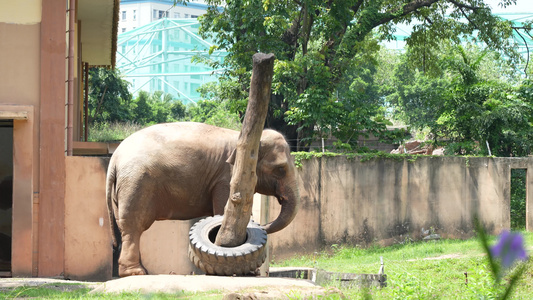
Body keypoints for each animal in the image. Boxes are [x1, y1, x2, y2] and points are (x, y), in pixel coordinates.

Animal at [107, 121, 300, 276]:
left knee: (124, 227)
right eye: (280, 169)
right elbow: (223, 210)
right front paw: (248, 271)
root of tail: (114, 158)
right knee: (134, 227)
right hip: (136, 184)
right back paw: (136, 273)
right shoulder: (227, 178)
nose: (262, 225)